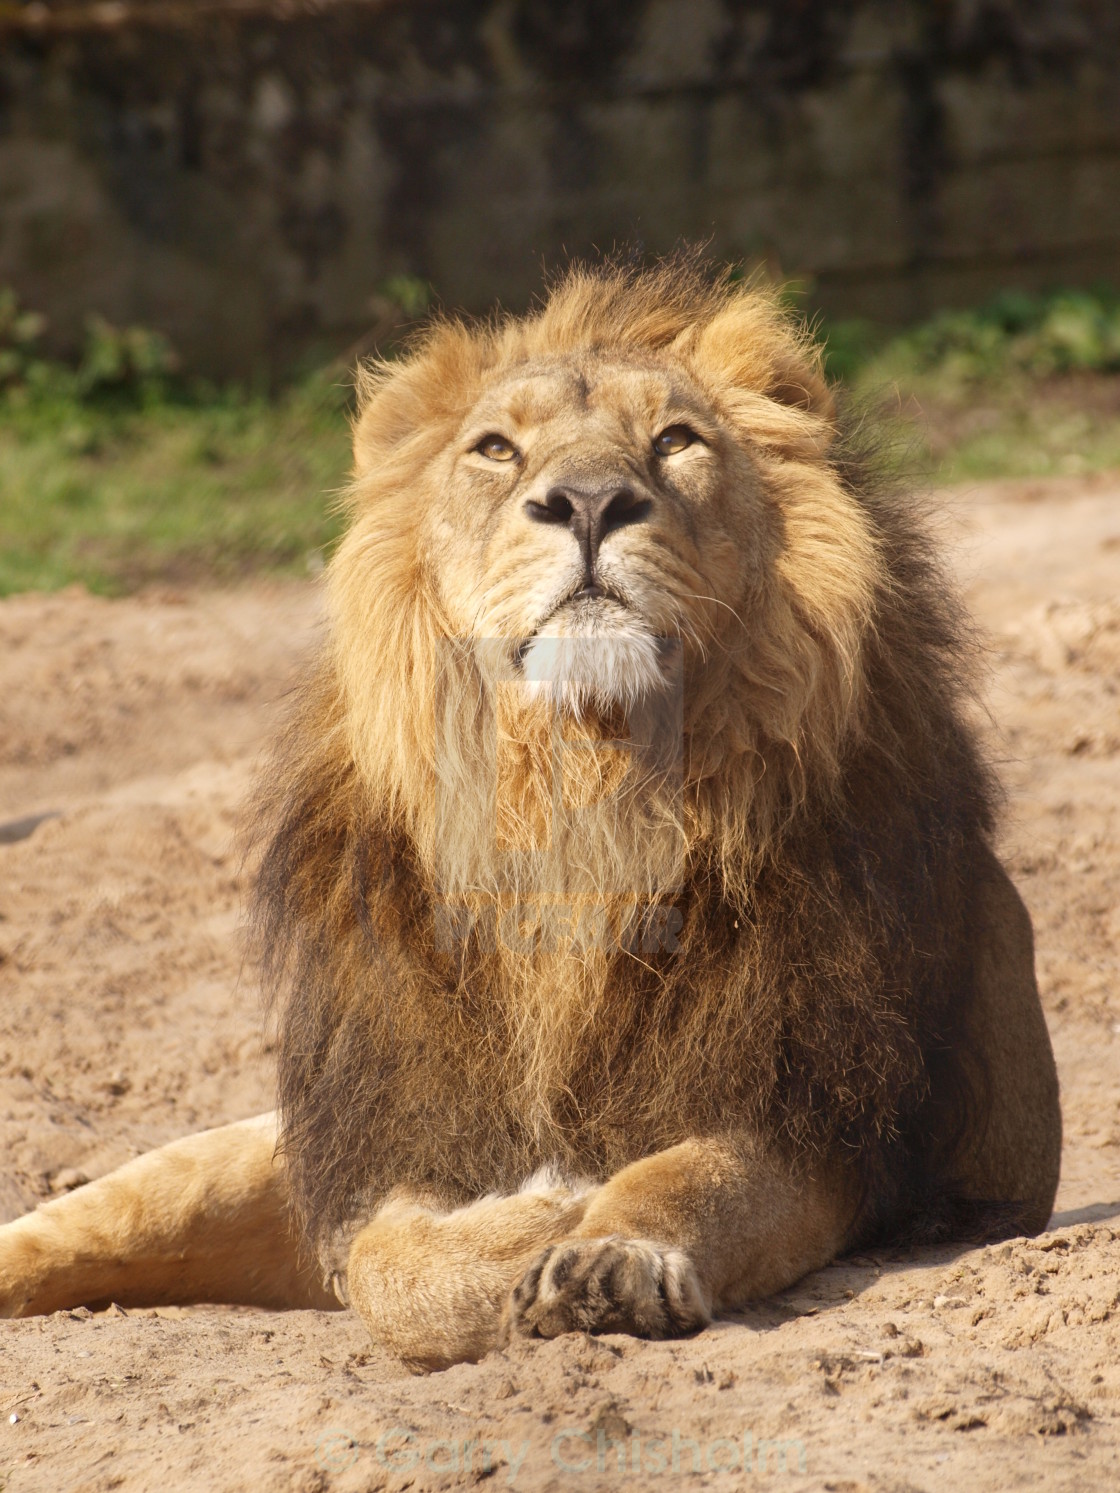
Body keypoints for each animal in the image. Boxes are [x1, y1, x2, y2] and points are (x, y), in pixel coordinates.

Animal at [0, 253, 1063, 1367]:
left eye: (675, 441)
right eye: (496, 450)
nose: (590, 500)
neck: (578, 803)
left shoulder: (821, 1115)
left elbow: (680, 1175)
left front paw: (607, 1248)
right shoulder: (386, 1140)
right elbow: (387, 1262)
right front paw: (540, 1210)